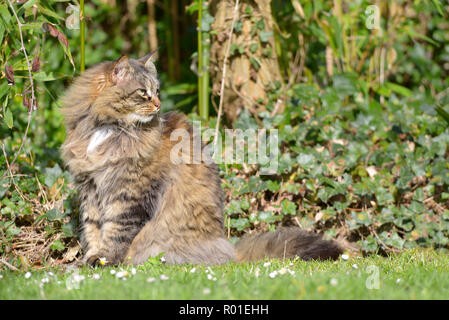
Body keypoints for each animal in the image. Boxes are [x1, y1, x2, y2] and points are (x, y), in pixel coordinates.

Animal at [59, 53, 340, 266]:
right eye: (142, 92)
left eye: (157, 90)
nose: (158, 104)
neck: (107, 128)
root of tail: (230, 250)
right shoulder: (90, 188)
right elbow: (93, 228)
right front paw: (89, 259)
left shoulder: (128, 194)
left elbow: (115, 232)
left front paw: (102, 261)